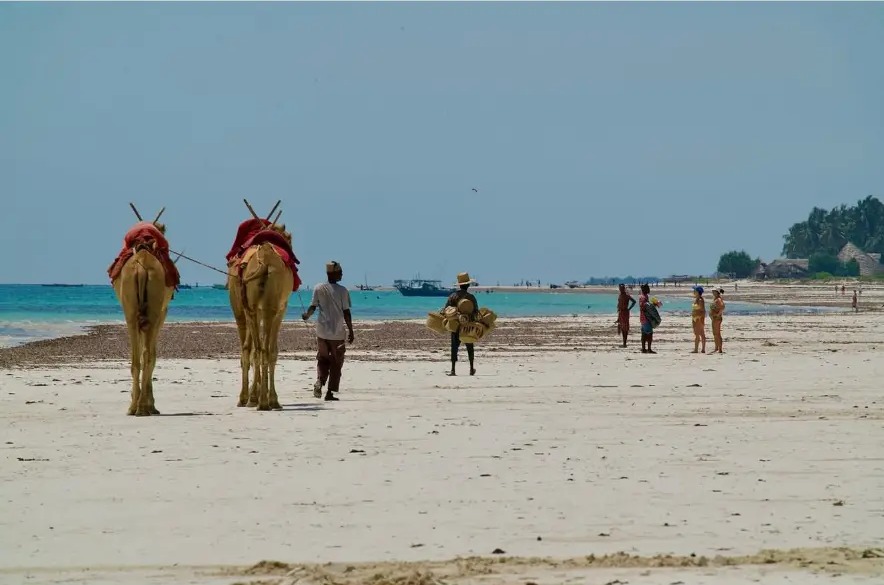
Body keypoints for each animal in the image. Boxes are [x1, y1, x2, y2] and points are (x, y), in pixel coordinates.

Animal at [109, 207, 177, 416]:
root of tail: (141, 266)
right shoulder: (161, 314)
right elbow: (152, 354)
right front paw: (150, 403)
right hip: (149, 310)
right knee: (145, 356)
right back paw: (141, 406)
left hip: (134, 310)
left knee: (138, 357)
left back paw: (136, 407)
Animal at [228, 210, 296, 411]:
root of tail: (265, 263)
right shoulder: (281, 309)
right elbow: (272, 350)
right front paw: (270, 398)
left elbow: (256, 349)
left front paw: (255, 396)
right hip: (265, 308)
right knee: (262, 349)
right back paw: (264, 400)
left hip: (248, 308)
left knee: (254, 349)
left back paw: (253, 399)